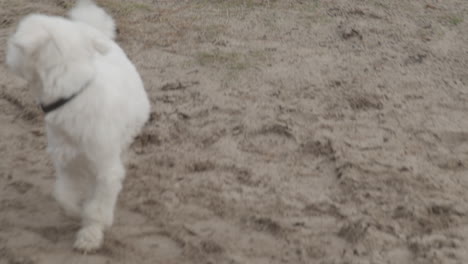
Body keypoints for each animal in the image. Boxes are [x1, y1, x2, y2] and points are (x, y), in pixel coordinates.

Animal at [6, 0, 151, 252]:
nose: (6, 50)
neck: (73, 94)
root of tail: (95, 32)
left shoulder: (105, 169)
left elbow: (97, 208)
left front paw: (90, 235)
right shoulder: (66, 161)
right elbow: (63, 196)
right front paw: (75, 211)